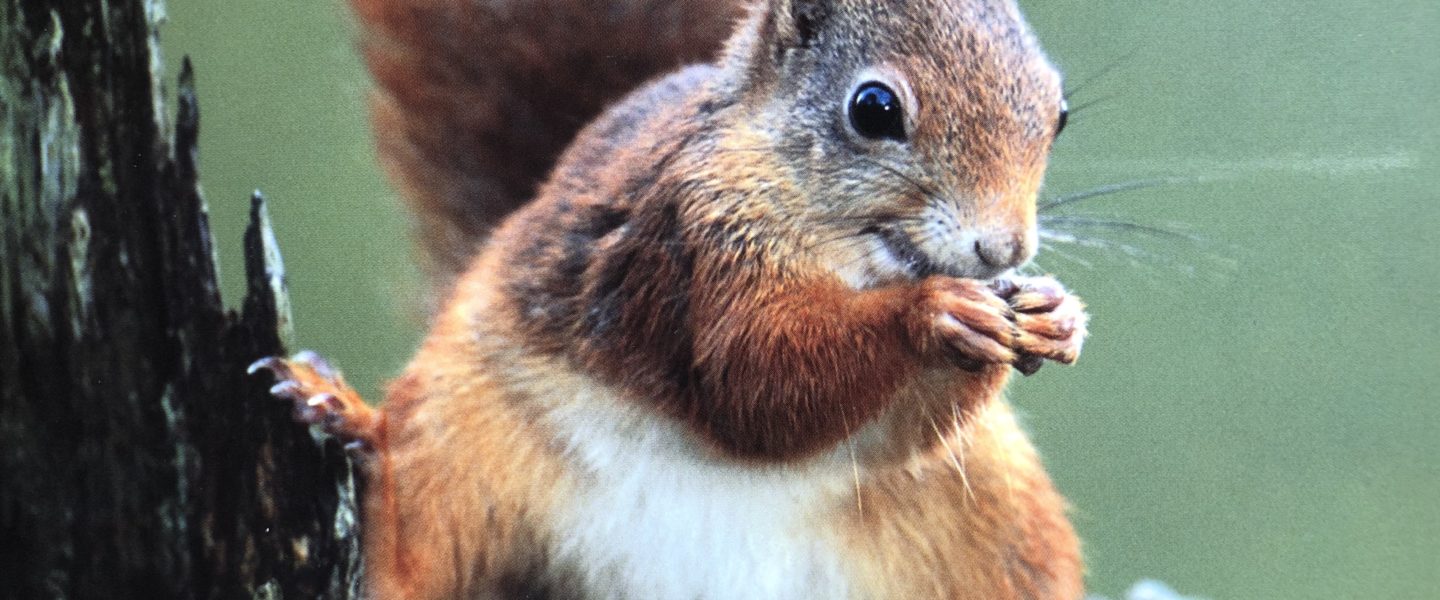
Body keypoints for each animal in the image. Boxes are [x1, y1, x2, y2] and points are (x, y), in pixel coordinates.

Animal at [253, 0, 1088, 592]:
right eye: (874, 109)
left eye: (1059, 114)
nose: (1002, 249)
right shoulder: (690, 242)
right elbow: (757, 382)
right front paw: (935, 313)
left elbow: (896, 435)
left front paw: (1053, 316)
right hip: (456, 441)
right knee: (405, 544)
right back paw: (342, 417)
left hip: (997, 532)